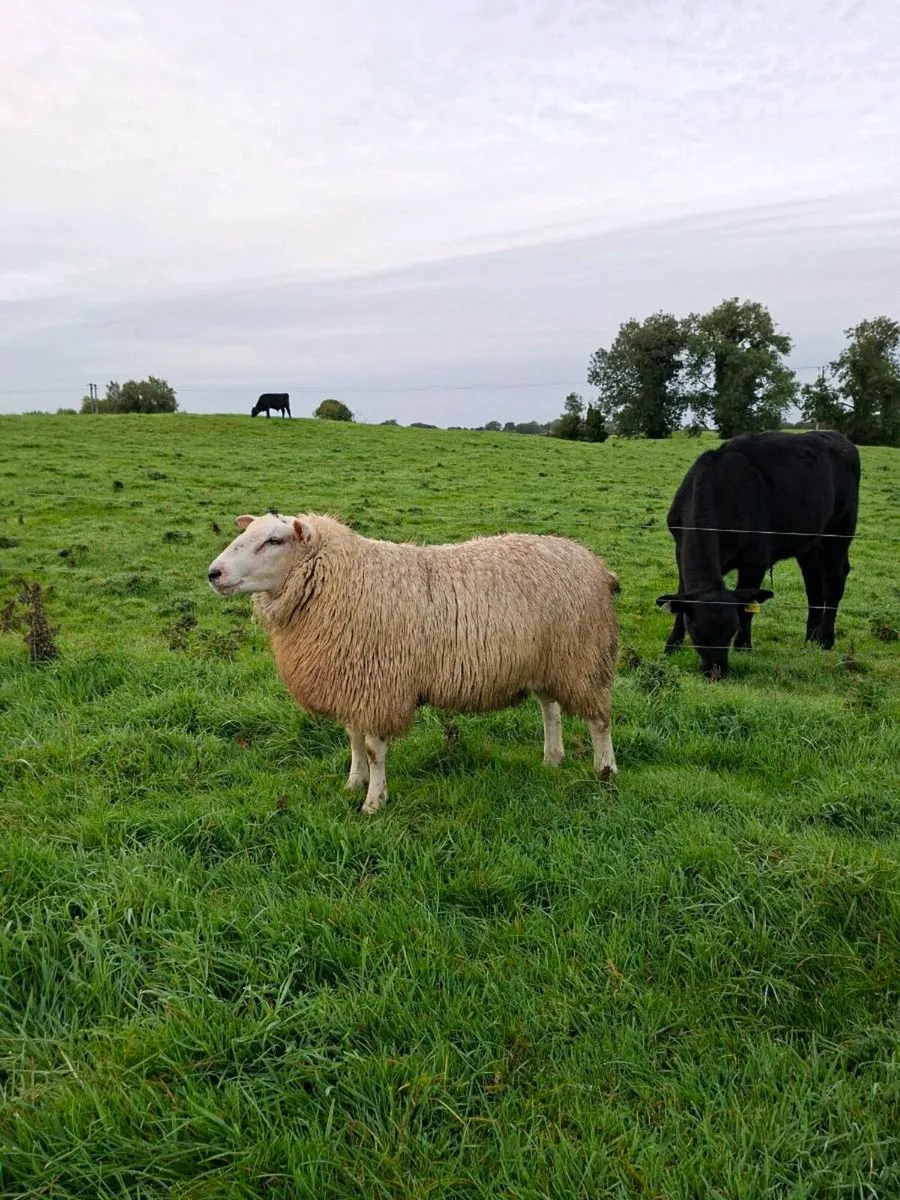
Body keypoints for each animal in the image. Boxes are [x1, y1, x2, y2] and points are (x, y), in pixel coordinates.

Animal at [207, 512, 619, 813]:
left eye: (274, 541)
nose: (214, 573)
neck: (341, 581)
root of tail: (595, 562)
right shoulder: (353, 683)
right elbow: (353, 740)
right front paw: (353, 784)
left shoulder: (379, 686)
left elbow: (373, 750)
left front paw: (374, 802)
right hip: (549, 660)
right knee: (551, 709)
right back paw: (553, 758)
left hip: (583, 658)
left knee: (599, 720)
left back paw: (605, 770)